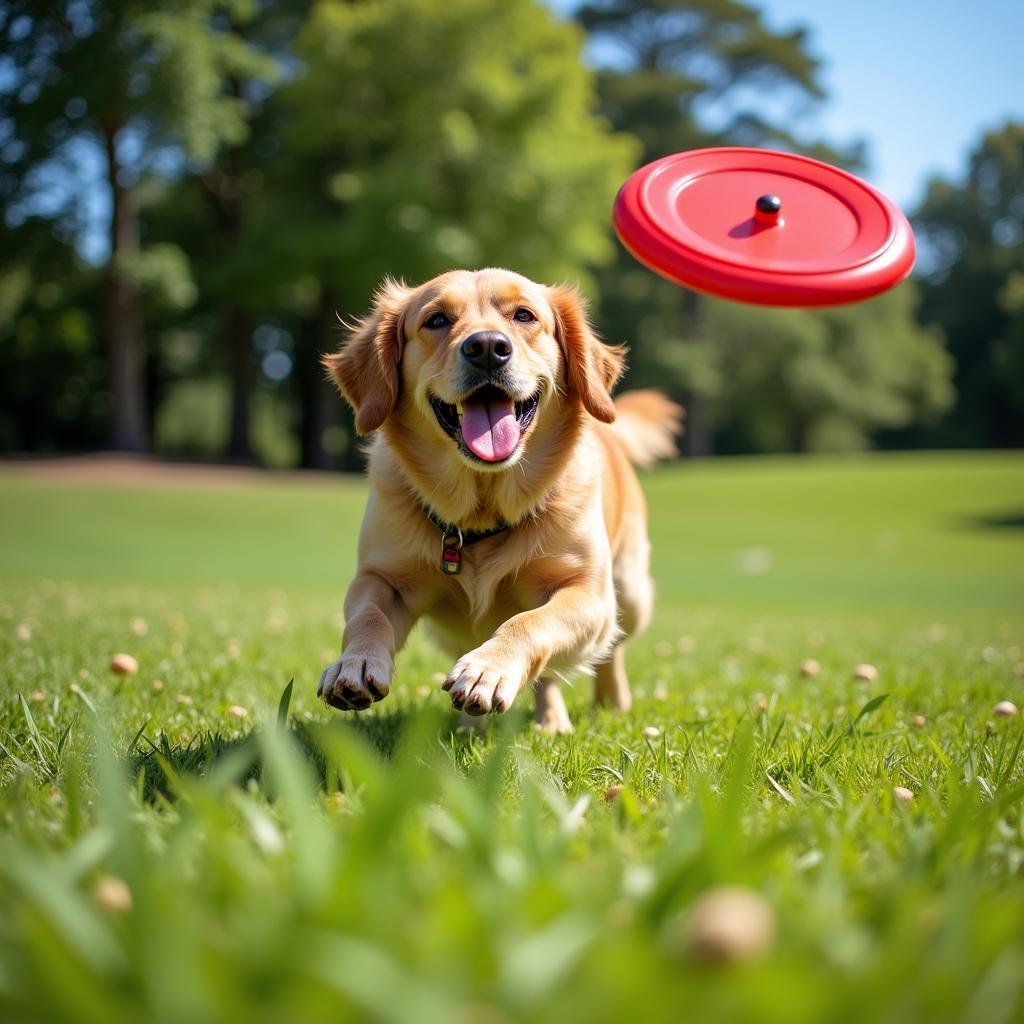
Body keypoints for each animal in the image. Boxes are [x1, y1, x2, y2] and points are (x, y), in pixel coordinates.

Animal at [315, 268, 684, 733]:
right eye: (437, 320)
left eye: (524, 315)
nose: (488, 347)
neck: (480, 511)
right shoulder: (381, 577)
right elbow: (368, 616)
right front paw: (356, 664)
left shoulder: (587, 593)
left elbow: (529, 621)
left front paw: (488, 670)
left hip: (630, 591)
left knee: (606, 651)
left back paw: (597, 704)